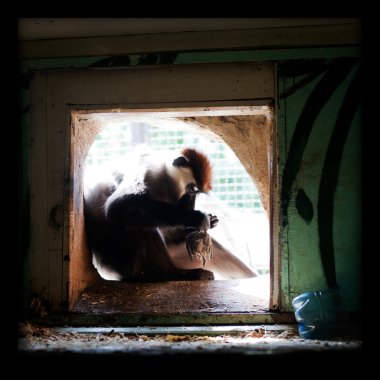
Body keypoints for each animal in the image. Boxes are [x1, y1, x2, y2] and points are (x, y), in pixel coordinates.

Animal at [83, 148, 255, 282]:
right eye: (192, 190)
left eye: (196, 194)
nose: (190, 203)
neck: (163, 180)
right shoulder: (148, 167)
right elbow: (117, 206)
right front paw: (198, 218)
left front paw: (205, 222)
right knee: (138, 225)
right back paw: (169, 275)